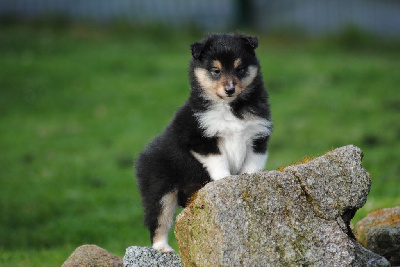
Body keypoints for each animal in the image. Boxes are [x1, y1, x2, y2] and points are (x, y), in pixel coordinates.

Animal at [135, 33, 272, 253]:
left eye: (239, 68)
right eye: (216, 70)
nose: (230, 89)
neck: (230, 107)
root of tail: (143, 155)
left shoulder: (258, 135)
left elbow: (253, 163)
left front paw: (250, 178)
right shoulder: (198, 138)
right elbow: (218, 160)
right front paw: (224, 179)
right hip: (160, 190)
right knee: (158, 220)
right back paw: (162, 247)